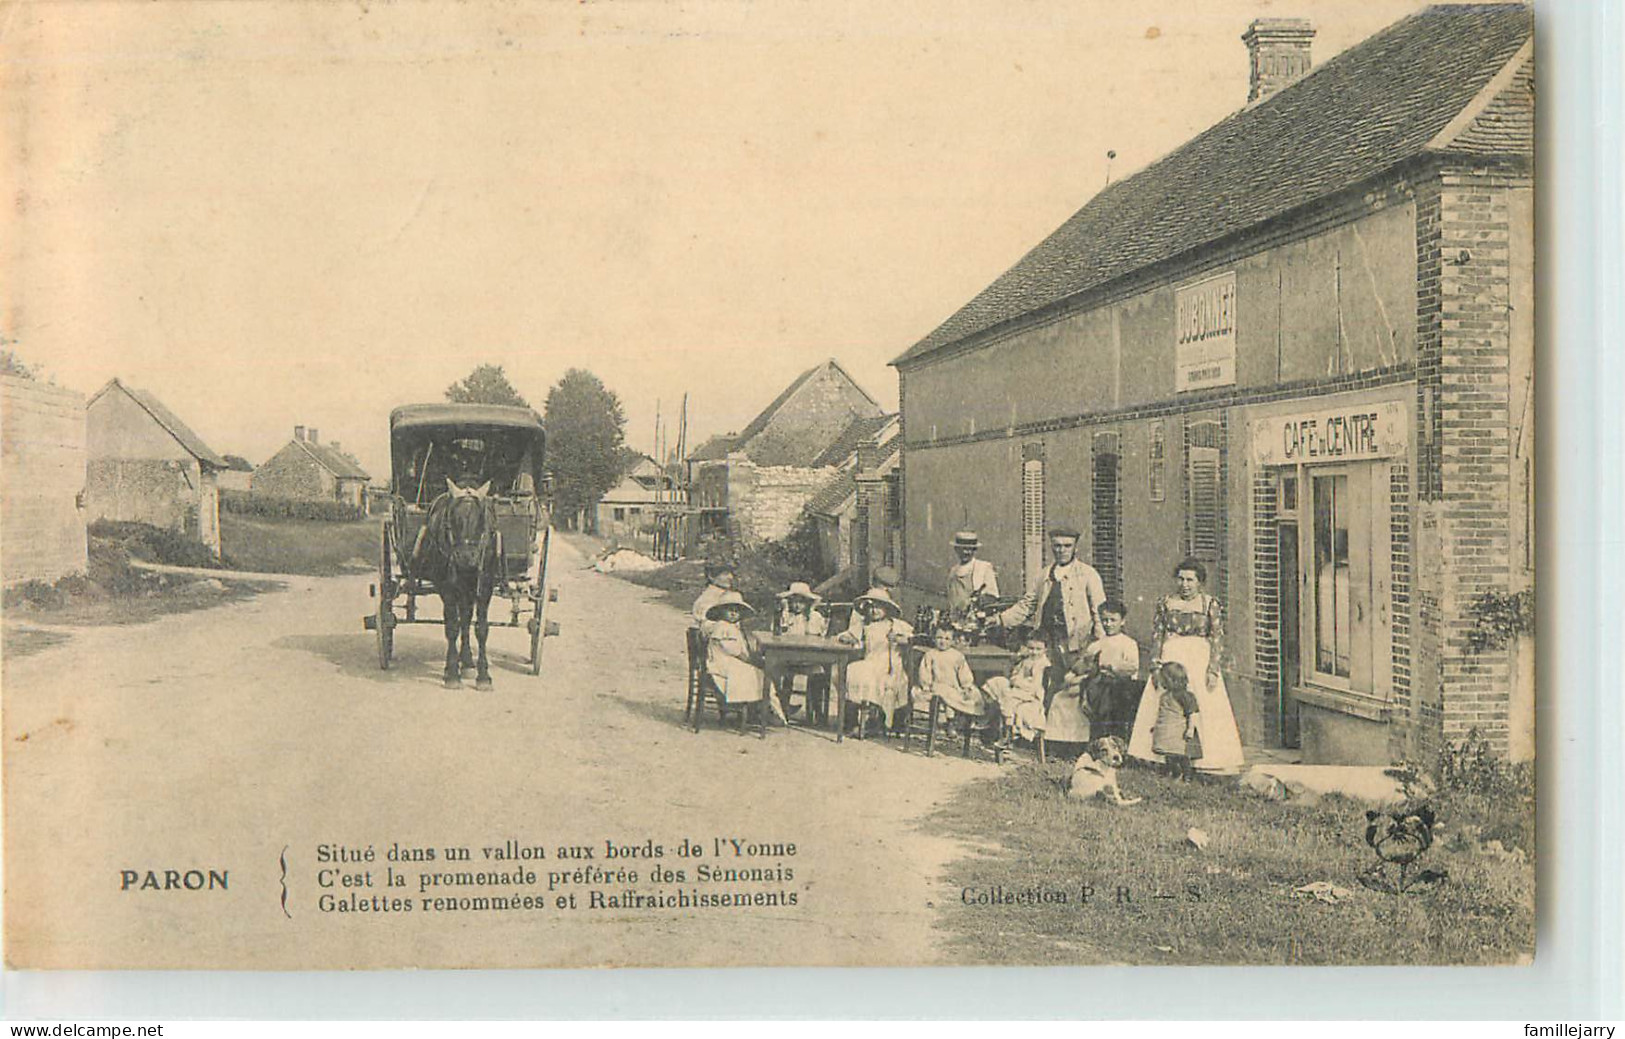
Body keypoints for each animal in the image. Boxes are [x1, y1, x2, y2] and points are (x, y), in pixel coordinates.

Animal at [412, 481, 494, 689]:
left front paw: (483, 676)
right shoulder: (447, 588)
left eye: (481, 519)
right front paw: (452, 673)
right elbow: (451, 627)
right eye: (452, 520)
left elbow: (481, 629)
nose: (466, 558)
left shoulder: (485, 587)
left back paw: (467, 662)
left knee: (466, 619)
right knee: (459, 621)